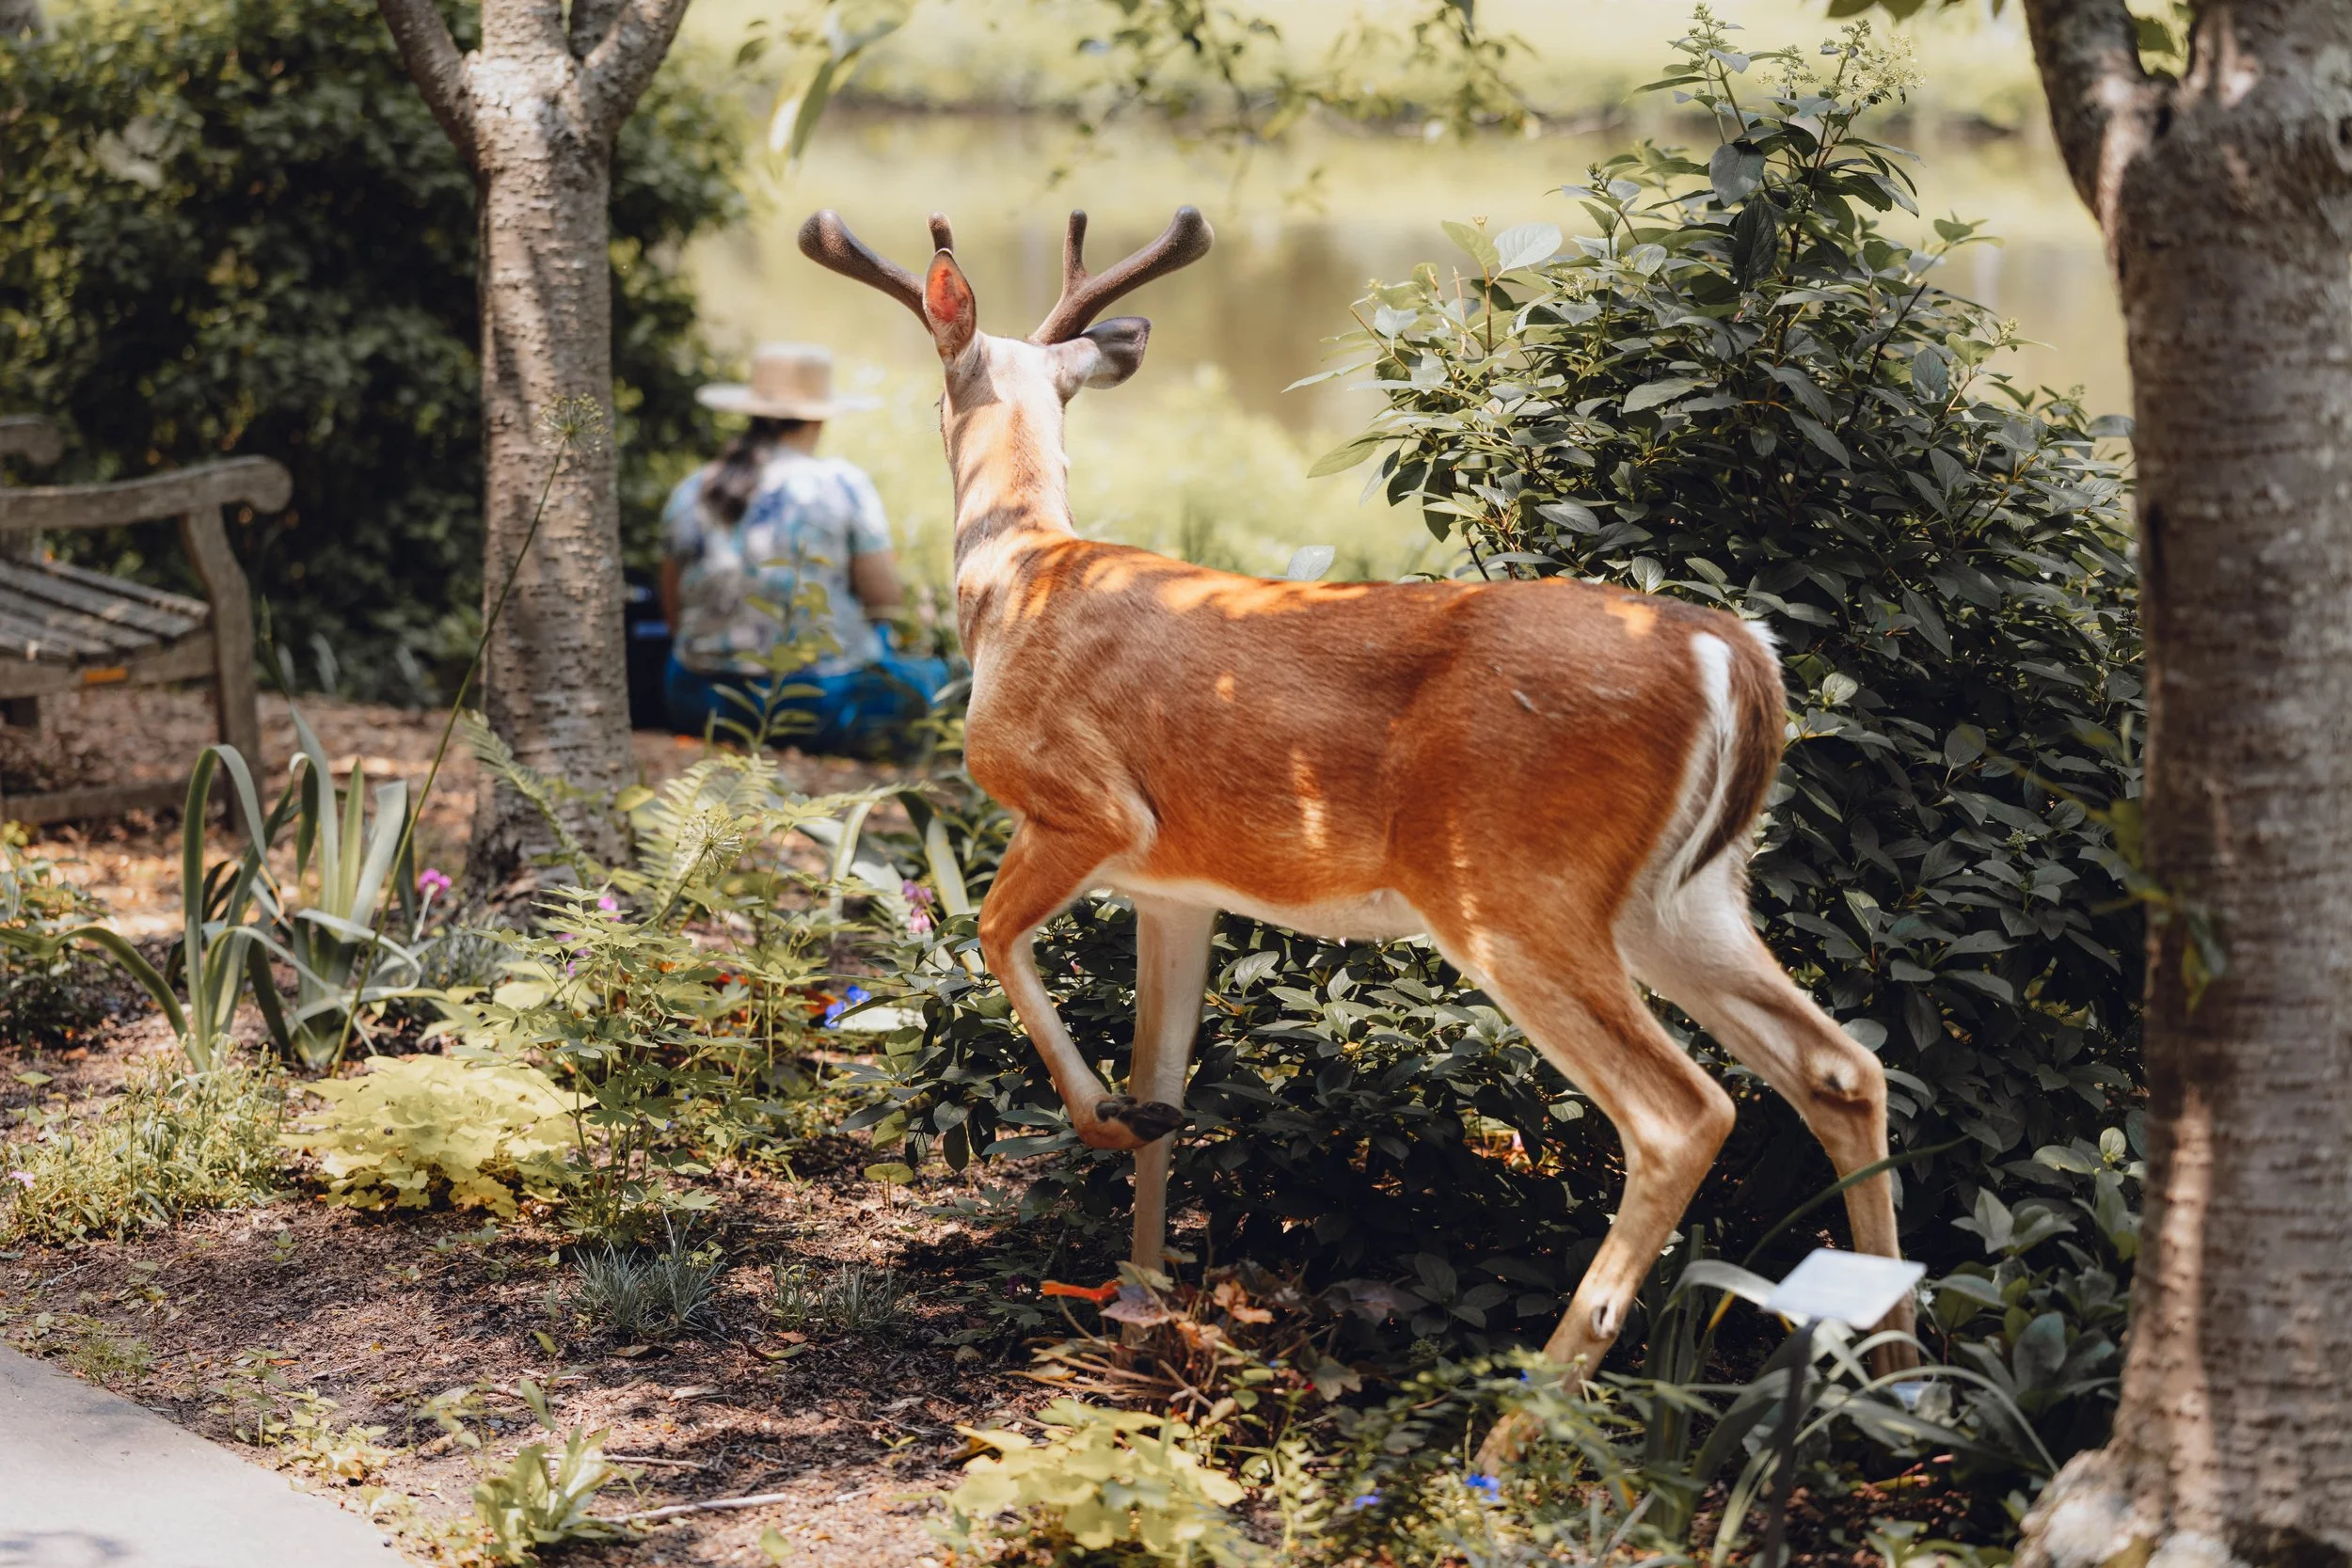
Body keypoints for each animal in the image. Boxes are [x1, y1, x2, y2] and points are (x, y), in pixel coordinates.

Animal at [798, 205, 1918, 1429]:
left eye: (927, 395)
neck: (1019, 574)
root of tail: (1737, 652)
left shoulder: (1082, 805)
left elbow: (996, 934)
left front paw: (1105, 1137)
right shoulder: (1175, 888)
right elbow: (1165, 1075)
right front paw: (1143, 1321)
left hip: (1510, 889)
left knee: (1683, 1112)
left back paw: (1522, 1419)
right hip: (1685, 898)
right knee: (1840, 1068)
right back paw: (1901, 1387)